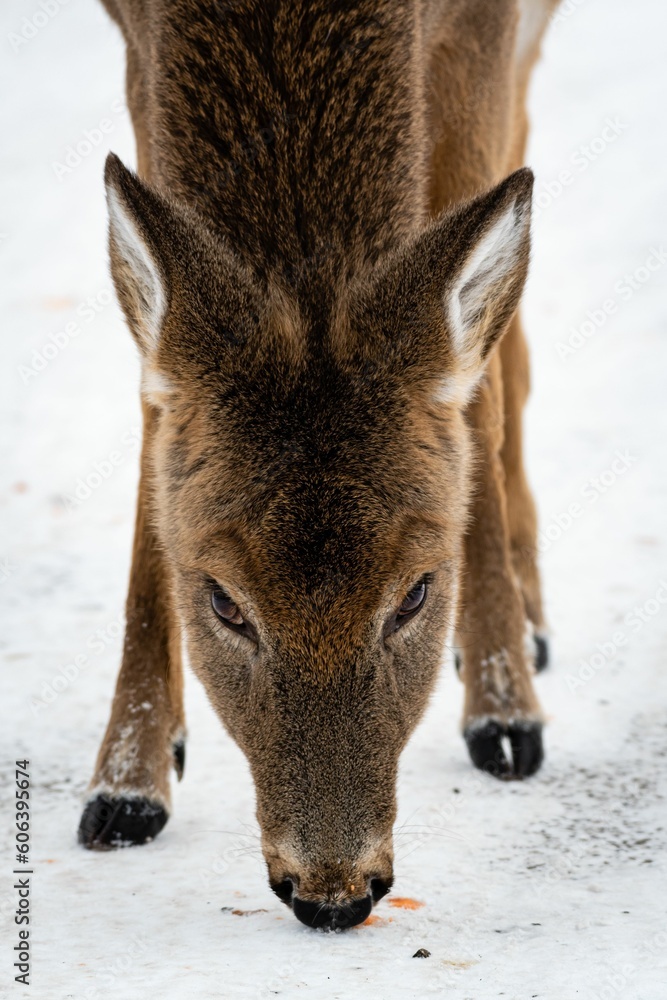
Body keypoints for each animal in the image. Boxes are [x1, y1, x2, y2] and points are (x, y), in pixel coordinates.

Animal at [79, 0, 558, 931]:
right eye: (223, 602)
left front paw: (503, 713)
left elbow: (471, 392)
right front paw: (126, 782)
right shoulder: (134, 46)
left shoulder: (481, 33)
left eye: (415, 592)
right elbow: (155, 411)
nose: (332, 893)